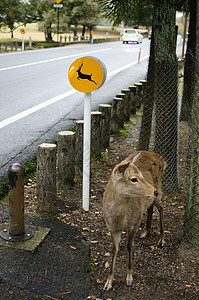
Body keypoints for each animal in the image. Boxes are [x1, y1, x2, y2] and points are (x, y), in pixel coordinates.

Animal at [102, 150, 166, 290]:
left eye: (142, 175)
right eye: (133, 179)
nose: (155, 191)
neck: (120, 219)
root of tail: (162, 160)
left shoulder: (135, 222)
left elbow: (129, 246)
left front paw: (129, 277)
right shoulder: (112, 228)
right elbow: (114, 250)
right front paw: (108, 283)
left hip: (158, 189)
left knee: (161, 208)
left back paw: (161, 240)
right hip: (149, 198)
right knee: (150, 208)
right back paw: (146, 232)